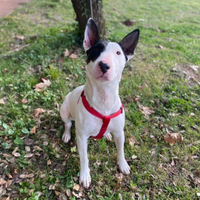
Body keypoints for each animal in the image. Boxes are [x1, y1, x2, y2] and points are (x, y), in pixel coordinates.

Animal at [60, 18, 140, 188]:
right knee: (68, 124)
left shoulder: (120, 132)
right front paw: (84, 175)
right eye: (96, 49)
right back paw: (66, 134)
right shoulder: (82, 137)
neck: (104, 96)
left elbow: (120, 150)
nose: (104, 65)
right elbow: (84, 158)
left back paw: (107, 134)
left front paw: (122, 164)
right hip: (64, 109)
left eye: (118, 53)